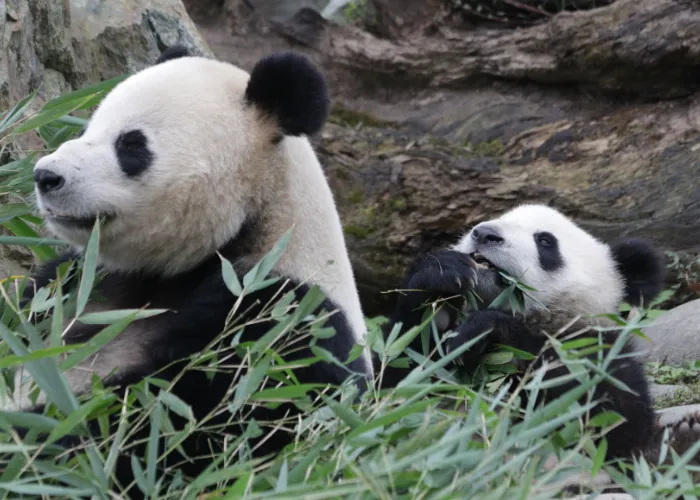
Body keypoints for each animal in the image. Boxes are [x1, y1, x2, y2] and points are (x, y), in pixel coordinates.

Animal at [4, 47, 372, 488]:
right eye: (90, 127)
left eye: (131, 145)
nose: (46, 176)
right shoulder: (75, 284)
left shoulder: (286, 324)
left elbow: (172, 431)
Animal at [378, 204, 688, 464]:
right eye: (500, 218)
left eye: (545, 241)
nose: (485, 234)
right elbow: (391, 375)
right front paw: (440, 275)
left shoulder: (598, 351)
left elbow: (605, 422)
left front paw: (487, 329)